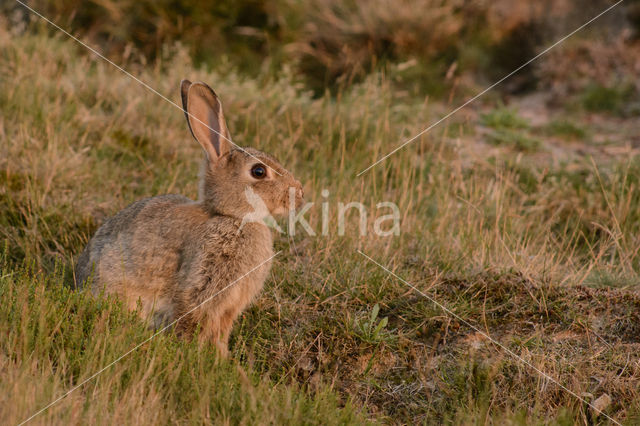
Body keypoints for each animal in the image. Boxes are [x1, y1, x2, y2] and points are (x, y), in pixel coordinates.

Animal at [74, 80, 304, 356]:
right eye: (258, 172)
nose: (299, 193)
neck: (230, 216)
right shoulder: (202, 281)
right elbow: (194, 320)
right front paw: (200, 353)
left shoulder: (228, 306)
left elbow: (220, 330)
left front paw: (222, 357)